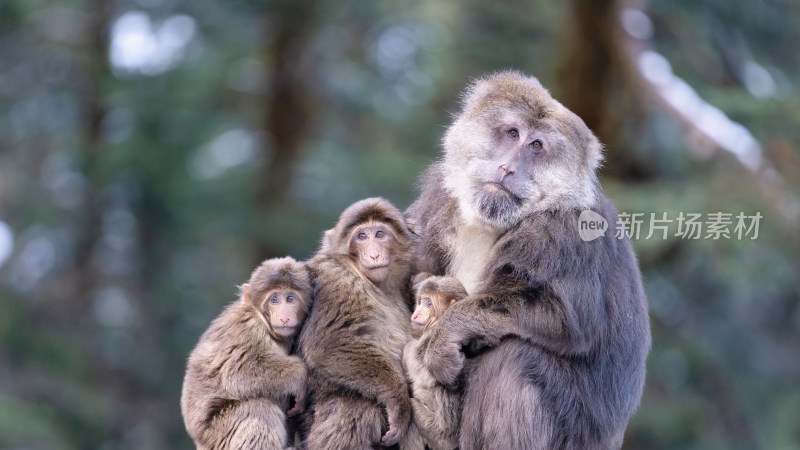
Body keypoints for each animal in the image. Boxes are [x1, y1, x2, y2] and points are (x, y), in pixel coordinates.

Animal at [180, 256, 310, 450]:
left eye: (290, 298)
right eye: (274, 299)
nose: (284, 316)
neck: (262, 320)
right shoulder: (247, 329)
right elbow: (239, 373)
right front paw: (301, 375)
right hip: (220, 435)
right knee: (259, 407)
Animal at [404, 272, 466, 448]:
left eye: (428, 303)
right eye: (419, 302)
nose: (416, 314)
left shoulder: (435, 333)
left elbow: (424, 373)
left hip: (439, 434)